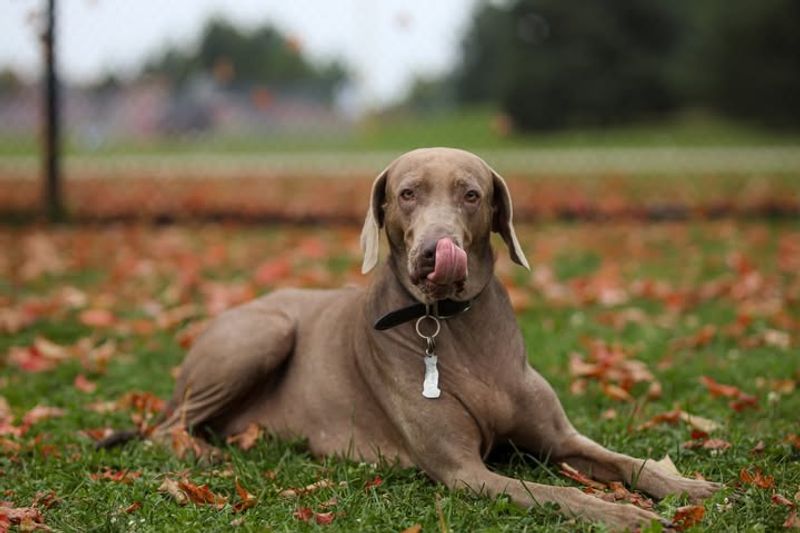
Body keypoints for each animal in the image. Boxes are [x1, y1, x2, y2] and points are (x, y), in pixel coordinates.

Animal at [148, 149, 720, 528]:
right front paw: (622, 515)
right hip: (264, 330)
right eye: (406, 194)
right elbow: (555, 494)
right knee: (166, 427)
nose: (434, 252)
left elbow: (627, 461)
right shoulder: (464, 471)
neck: (453, 324)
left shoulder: (560, 439)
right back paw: (203, 454)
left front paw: (685, 485)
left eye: (472, 194)